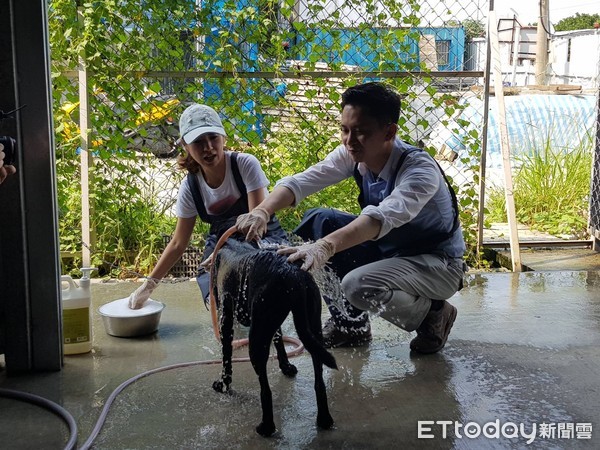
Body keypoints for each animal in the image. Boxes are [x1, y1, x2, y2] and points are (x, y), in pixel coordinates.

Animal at [211, 239, 336, 436]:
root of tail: (292, 272)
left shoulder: (226, 318)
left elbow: (226, 356)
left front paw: (223, 384)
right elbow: (279, 340)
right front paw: (286, 366)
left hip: (256, 339)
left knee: (266, 389)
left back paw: (266, 427)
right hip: (312, 329)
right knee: (319, 380)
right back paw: (324, 420)